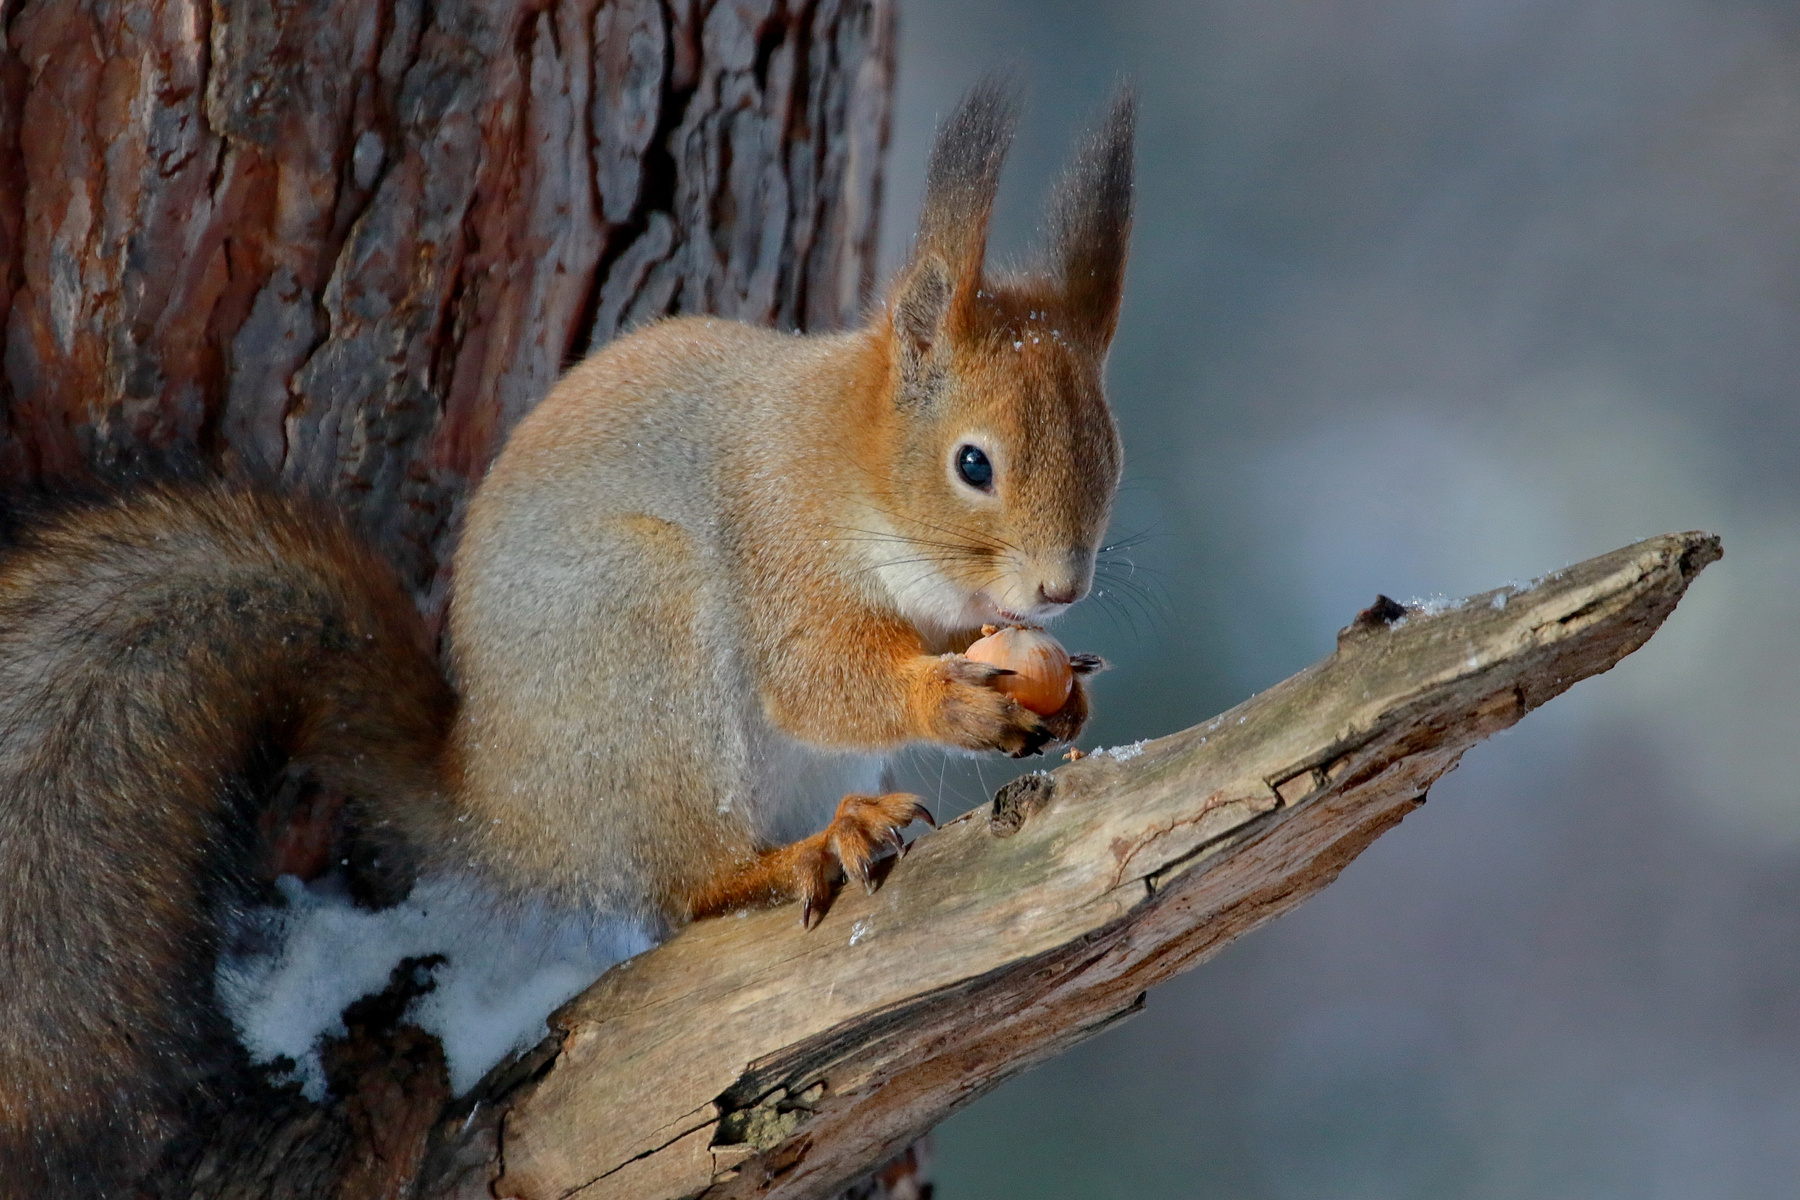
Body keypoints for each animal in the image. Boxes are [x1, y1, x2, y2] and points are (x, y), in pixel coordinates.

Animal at [0, 80, 1132, 1197]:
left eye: (1110, 451)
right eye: (974, 464)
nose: (1061, 588)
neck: (854, 468)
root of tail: (493, 808)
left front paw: (1066, 687)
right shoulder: (782, 544)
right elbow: (815, 680)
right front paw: (955, 697)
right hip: (643, 628)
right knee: (684, 888)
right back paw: (801, 853)